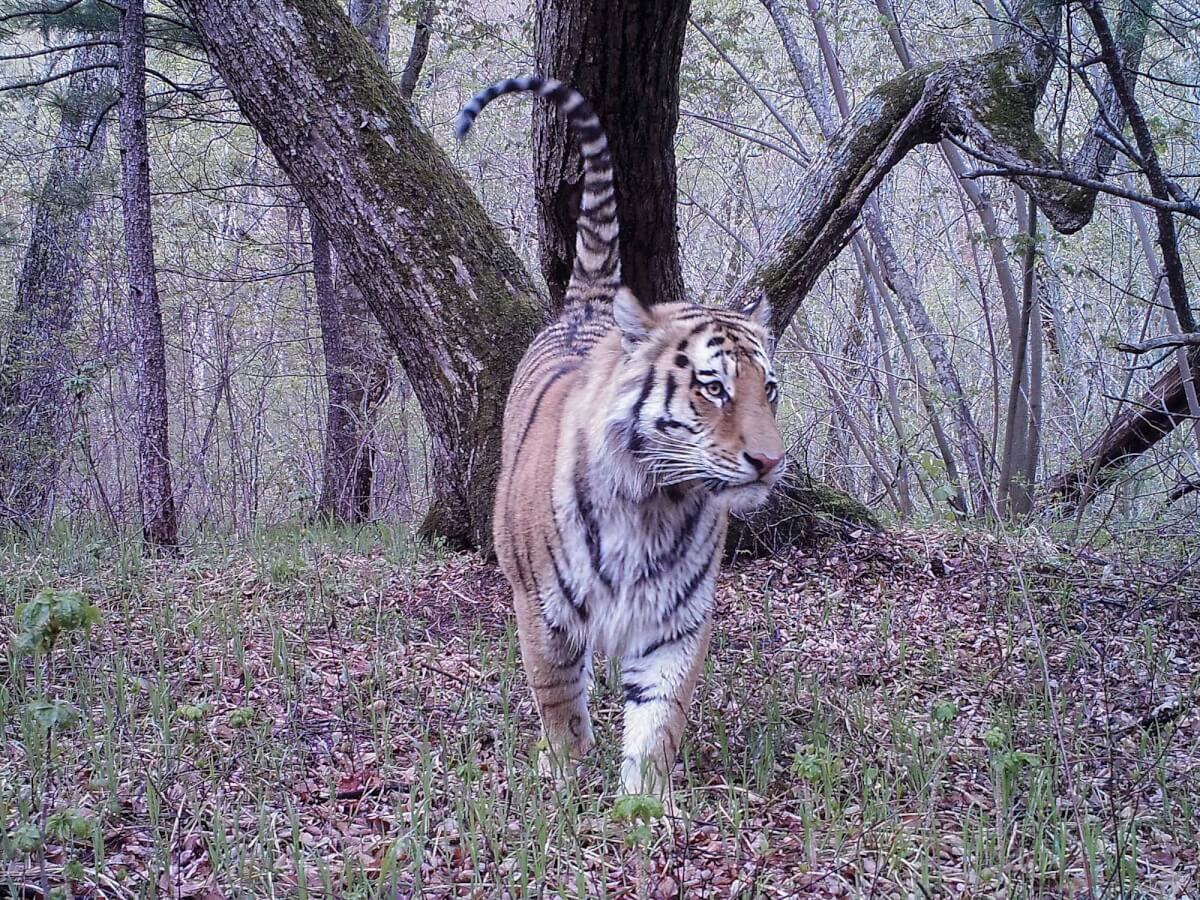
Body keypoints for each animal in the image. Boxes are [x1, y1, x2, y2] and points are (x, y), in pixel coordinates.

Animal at [453, 77, 782, 796]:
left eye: (769, 389)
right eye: (714, 387)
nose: (771, 461)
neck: (654, 501)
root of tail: (587, 307)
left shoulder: (676, 620)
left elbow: (661, 714)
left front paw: (648, 804)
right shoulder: (543, 610)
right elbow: (558, 699)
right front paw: (565, 777)